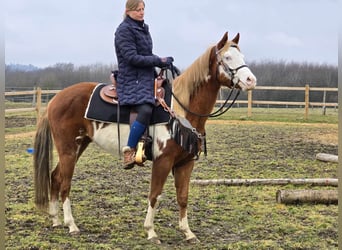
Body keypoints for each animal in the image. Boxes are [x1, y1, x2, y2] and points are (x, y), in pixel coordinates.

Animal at [33, 31, 256, 244]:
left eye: (242, 55)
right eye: (227, 57)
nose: (251, 80)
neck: (180, 111)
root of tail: (55, 99)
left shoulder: (185, 162)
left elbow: (183, 196)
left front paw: (188, 233)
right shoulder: (163, 161)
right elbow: (155, 195)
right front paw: (151, 232)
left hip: (78, 146)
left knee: (55, 176)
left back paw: (55, 220)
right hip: (68, 149)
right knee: (65, 183)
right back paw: (71, 225)